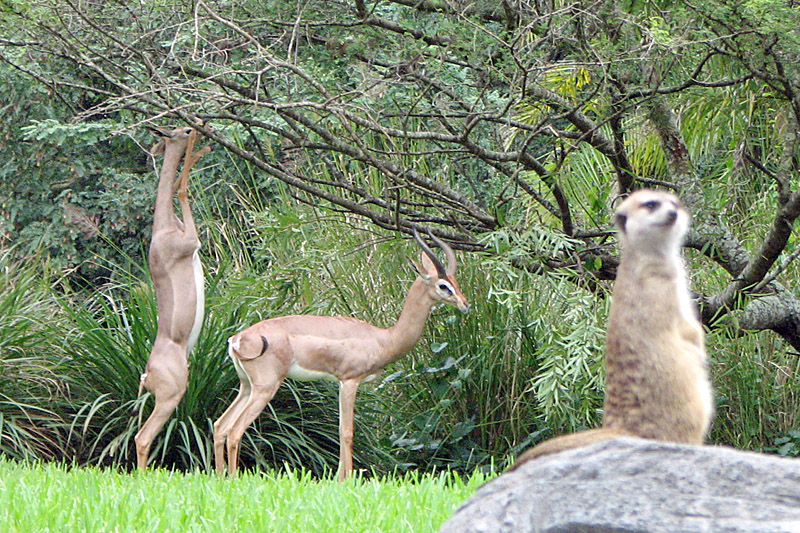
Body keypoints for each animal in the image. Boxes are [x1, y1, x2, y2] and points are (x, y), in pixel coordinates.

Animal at [213, 230, 469, 480]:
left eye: (456, 281)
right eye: (443, 286)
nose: (465, 304)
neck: (383, 338)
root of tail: (237, 339)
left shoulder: (340, 383)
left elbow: (339, 429)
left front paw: (338, 479)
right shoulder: (350, 381)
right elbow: (347, 432)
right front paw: (347, 479)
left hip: (246, 386)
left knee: (220, 426)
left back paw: (221, 476)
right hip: (265, 387)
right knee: (235, 430)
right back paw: (232, 479)